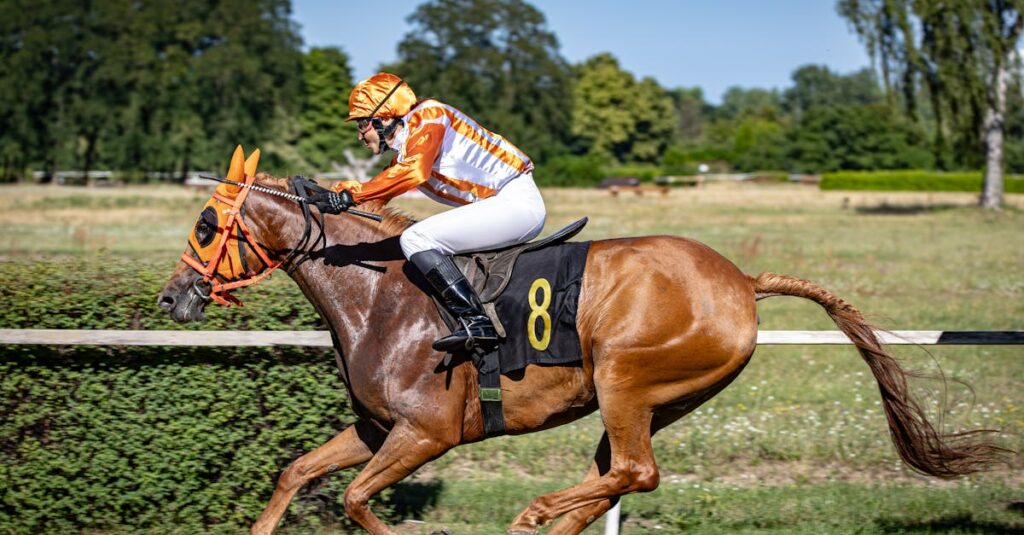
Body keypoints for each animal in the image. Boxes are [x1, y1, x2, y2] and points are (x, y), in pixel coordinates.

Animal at [158, 147, 1005, 535]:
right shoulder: (377, 428)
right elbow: (298, 471)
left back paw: (535, 510)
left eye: (205, 223)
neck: (381, 296)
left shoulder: (425, 432)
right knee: (618, 473)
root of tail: (741, 278)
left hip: (627, 374)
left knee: (635, 470)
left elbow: (360, 498)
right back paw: (549, 516)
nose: (171, 296)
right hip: (655, 396)